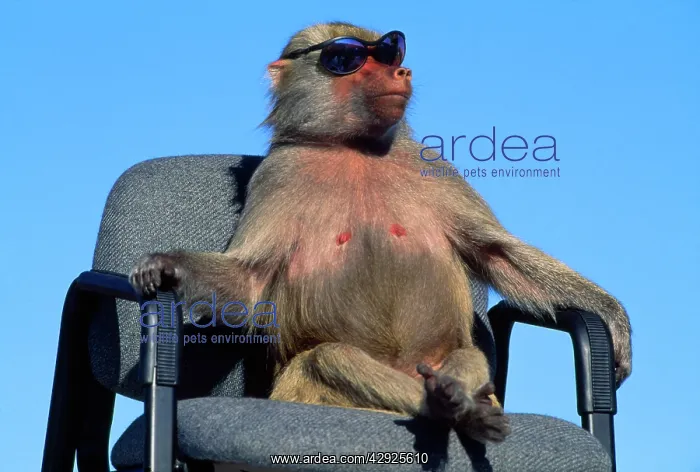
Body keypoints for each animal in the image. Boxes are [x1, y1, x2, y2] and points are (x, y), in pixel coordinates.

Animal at [130, 22, 631, 444]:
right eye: (348, 58)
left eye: (390, 53)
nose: (401, 70)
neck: (353, 148)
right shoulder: (278, 176)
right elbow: (248, 280)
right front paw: (164, 267)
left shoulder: (433, 166)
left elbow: (497, 251)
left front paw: (612, 318)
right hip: (304, 390)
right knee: (331, 358)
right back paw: (443, 406)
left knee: (468, 357)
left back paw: (457, 399)